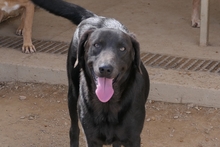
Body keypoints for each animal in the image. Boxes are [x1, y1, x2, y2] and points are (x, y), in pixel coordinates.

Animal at [30, 0, 150, 146]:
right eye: (96, 45)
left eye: (122, 48)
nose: (105, 69)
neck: (107, 105)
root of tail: (95, 17)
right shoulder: (92, 138)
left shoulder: (133, 138)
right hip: (72, 93)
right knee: (74, 129)